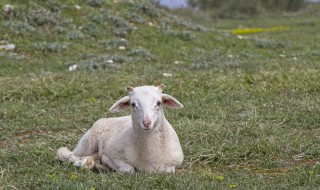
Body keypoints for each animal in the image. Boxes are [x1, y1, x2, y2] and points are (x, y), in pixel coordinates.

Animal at [56, 84, 184, 173]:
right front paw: (108, 165)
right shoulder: (112, 154)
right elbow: (129, 169)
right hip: (88, 142)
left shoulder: (175, 163)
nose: (147, 123)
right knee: (68, 155)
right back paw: (85, 163)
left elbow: (168, 170)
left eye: (159, 103)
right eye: (133, 104)